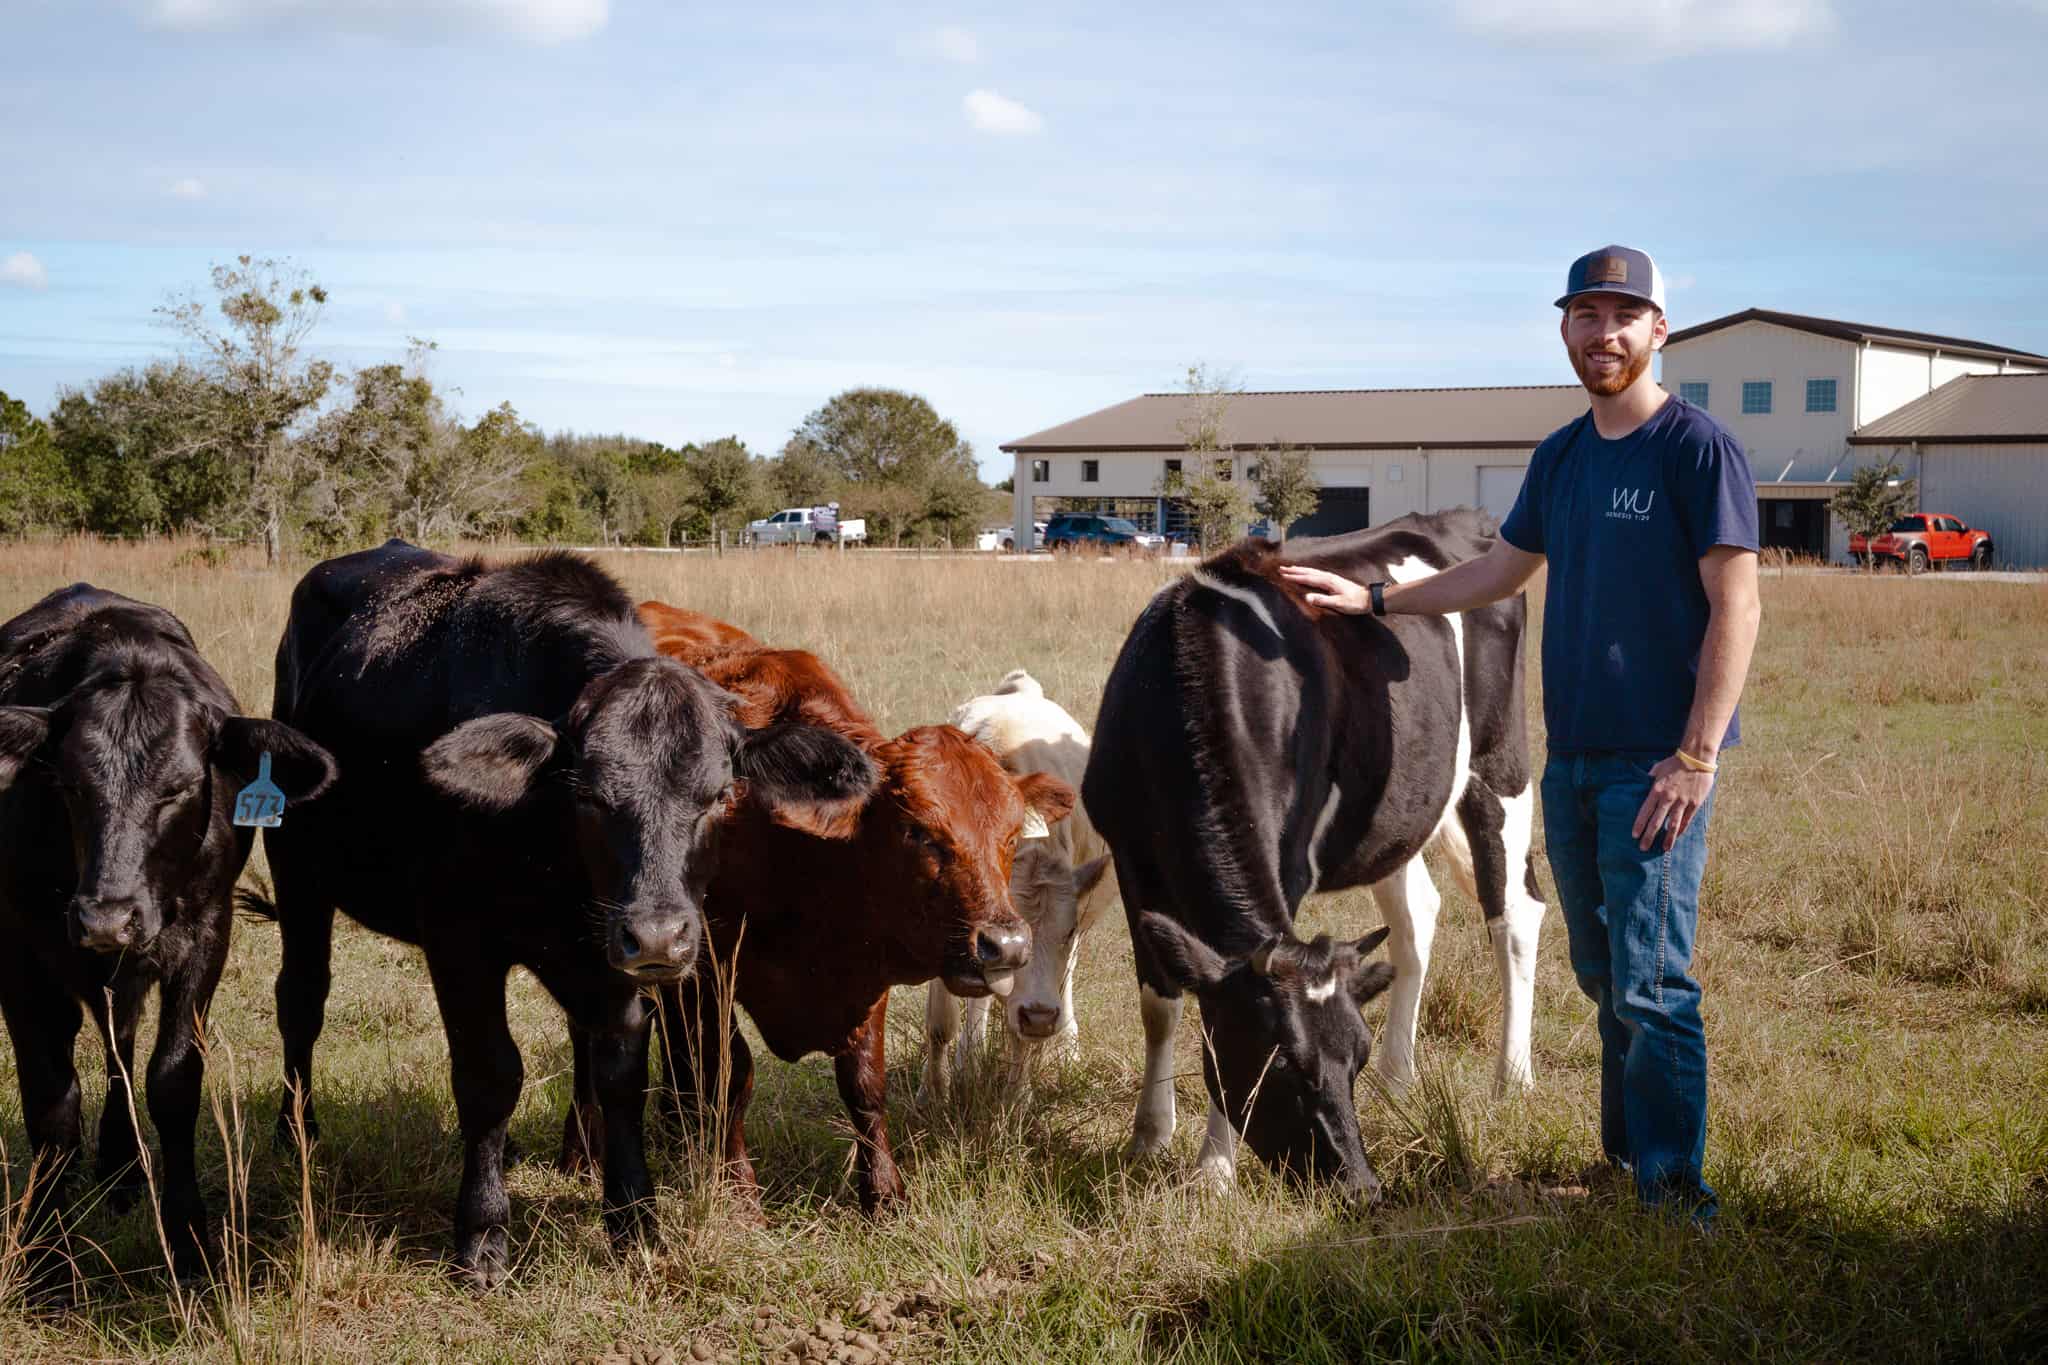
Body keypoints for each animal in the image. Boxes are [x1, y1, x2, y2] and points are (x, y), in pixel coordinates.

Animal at [0, 589, 335, 1293]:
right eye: (68, 785)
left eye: (179, 789)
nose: (106, 918)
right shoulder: (18, 952)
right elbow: (51, 1104)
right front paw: (46, 1260)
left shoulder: (207, 934)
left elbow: (173, 1081)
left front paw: (190, 1244)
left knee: (121, 1048)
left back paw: (125, 1169)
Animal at [258, 540, 872, 1285]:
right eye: (587, 794)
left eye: (721, 795)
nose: (661, 937)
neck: (548, 844)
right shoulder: (459, 941)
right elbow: (490, 1076)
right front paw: (483, 1233)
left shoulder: (611, 955)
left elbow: (621, 1071)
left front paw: (634, 1217)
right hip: (297, 873)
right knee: (302, 999)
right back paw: (297, 1131)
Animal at [561, 601, 1073, 1211]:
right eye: (919, 832)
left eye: (1013, 835)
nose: (1006, 945)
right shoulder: (703, 969)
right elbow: (728, 1076)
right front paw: (737, 1193)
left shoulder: (864, 976)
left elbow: (865, 1083)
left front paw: (883, 1194)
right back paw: (584, 1151)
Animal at [1089, 511, 1540, 1195]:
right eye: (1281, 1066)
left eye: (1350, 1062)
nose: (1361, 1186)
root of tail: (1465, 520)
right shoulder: (1129, 857)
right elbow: (1160, 1005)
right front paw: (1149, 1136)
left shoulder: (1290, 864)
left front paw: (1214, 1171)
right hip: (1396, 811)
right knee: (1419, 915)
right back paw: (1399, 1079)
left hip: (1500, 764)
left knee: (1514, 915)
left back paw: (1511, 1080)